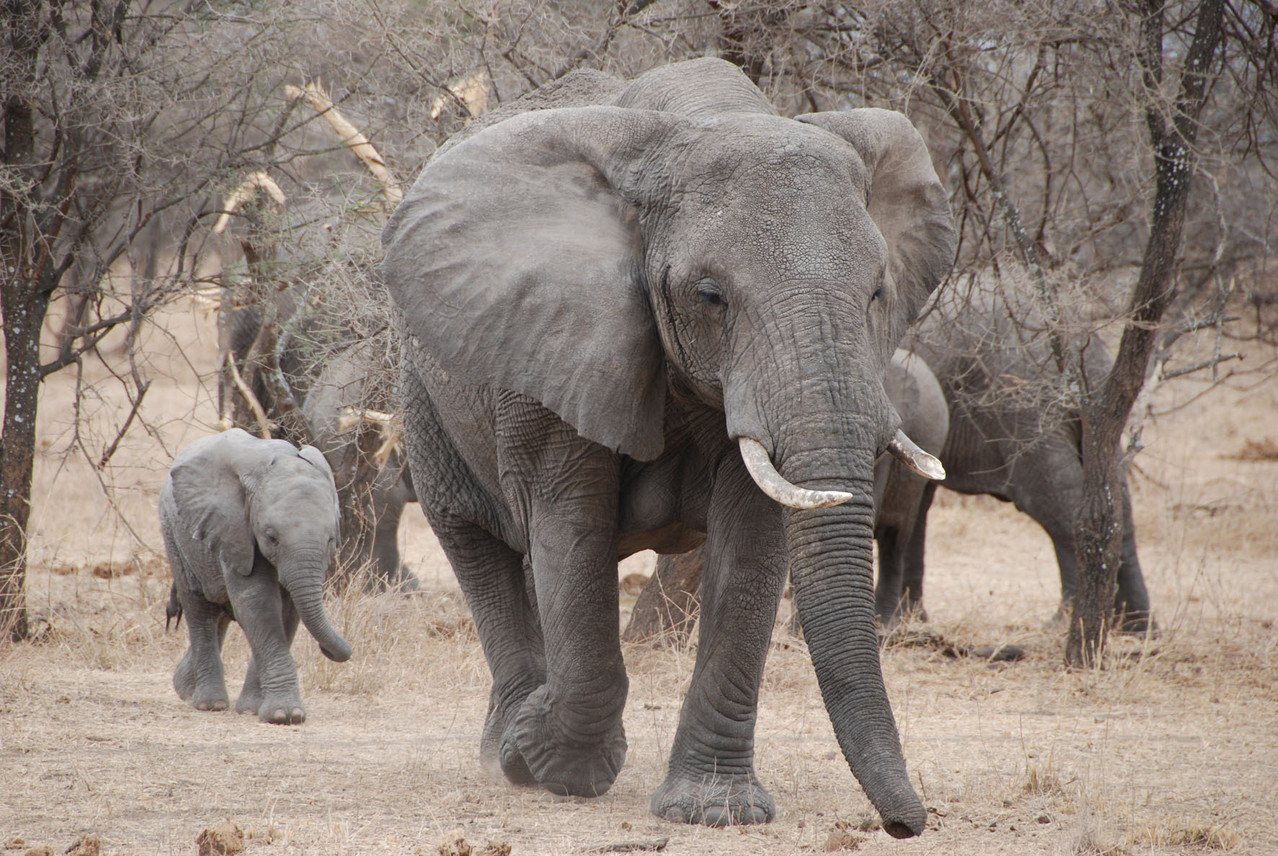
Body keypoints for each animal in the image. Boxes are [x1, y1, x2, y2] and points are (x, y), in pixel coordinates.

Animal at [164, 429, 357, 725]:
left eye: (331, 540)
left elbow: (287, 611)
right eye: (271, 537)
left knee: (219, 612)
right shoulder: (236, 530)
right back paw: (210, 703)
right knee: (199, 608)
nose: (334, 651)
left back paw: (185, 688)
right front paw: (284, 715)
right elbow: (258, 604)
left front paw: (253, 709)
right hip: (174, 536)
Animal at [899, 279, 1160, 631]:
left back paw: (1064, 623)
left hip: (1024, 408)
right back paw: (1138, 628)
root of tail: (1080, 341)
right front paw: (910, 621)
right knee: (1117, 500)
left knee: (1059, 504)